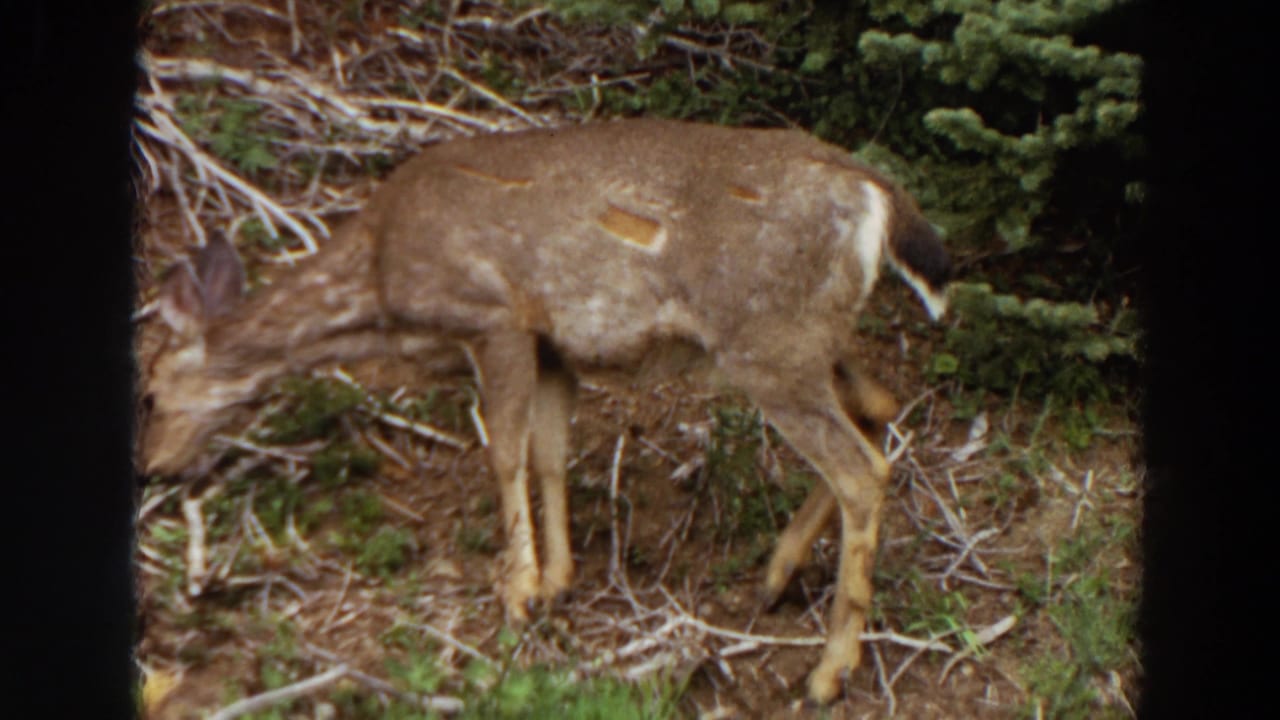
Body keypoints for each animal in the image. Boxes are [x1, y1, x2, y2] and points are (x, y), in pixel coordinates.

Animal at [139, 118, 950, 703]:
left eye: (146, 389)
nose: (153, 466)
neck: (378, 286)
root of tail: (877, 193)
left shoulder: (495, 316)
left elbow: (503, 453)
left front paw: (518, 594)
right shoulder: (556, 345)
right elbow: (550, 454)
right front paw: (559, 579)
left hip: (769, 342)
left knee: (861, 469)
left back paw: (828, 673)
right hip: (810, 340)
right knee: (879, 406)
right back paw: (777, 575)